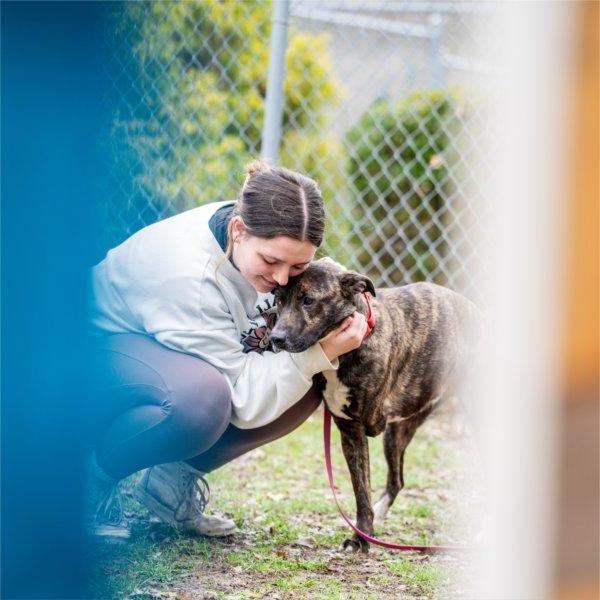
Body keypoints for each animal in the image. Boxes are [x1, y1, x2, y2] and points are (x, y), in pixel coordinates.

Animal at [270, 258, 478, 552]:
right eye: (278, 300)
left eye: (308, 300)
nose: (275, 338)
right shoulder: (350, 431)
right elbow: (361, 490)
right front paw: (363, 534)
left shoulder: (369, 422)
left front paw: (362, 537)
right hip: (397, 432)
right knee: (397, 480)